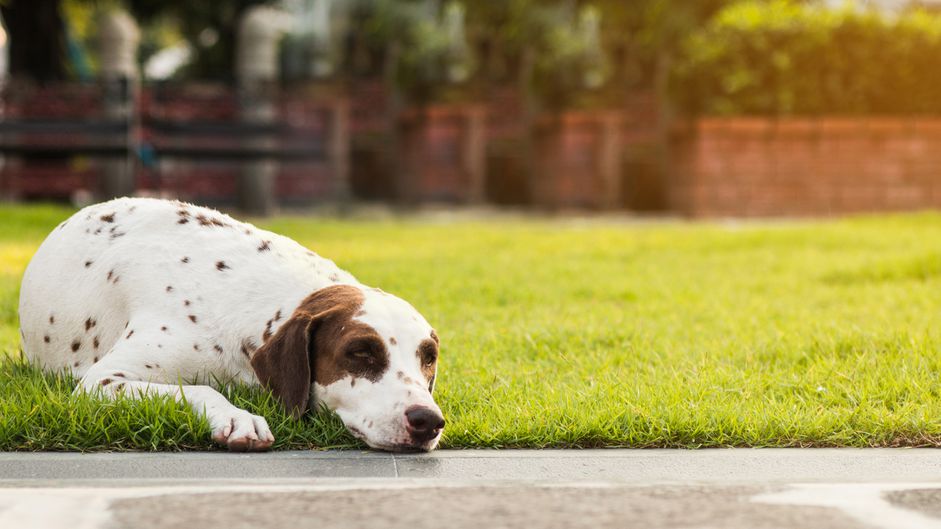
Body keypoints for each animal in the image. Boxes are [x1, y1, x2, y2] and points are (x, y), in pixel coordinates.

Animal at [17, 196, 444, 452]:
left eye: (428, 358)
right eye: (360, 352)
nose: (429, 420)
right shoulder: (102, 382)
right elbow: (201, 390)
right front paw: (238, 418)